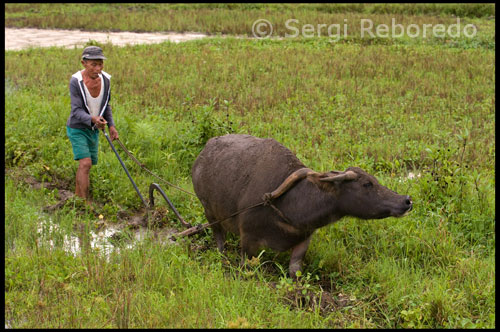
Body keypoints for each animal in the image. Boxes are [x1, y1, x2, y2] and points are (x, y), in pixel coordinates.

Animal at [189, 134, 412, 276]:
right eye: (367, 184)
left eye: (374, 179)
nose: (406, 200)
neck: (291, 205)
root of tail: (202, 155)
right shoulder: (248, 240)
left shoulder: (304, 240)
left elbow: (294, 271)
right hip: (209, 211)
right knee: (219, 236)